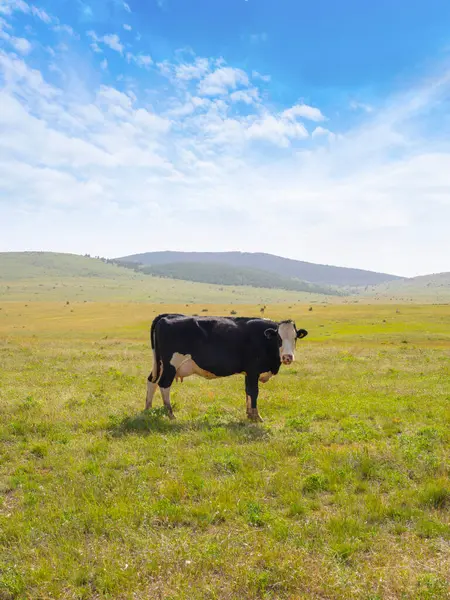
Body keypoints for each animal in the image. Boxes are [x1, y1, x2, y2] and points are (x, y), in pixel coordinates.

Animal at [146, 314, 308, 422]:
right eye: (279, 338)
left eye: (295, 338)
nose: (287, 357)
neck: (264, 339)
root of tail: (168, 316)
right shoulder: (253, 370)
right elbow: (254, 392)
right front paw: (257, 417)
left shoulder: (248, 373)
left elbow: (247, 392)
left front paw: (250, 414)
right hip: (170, 365)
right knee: (163, 385)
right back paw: (171, 414)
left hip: (159, 364)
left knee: (151, 381)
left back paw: (148, 408)